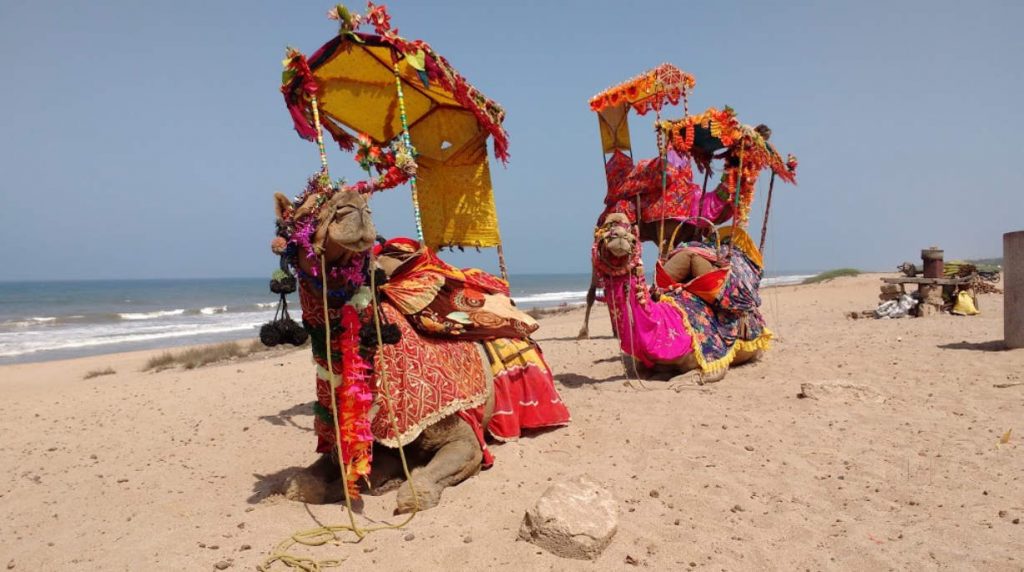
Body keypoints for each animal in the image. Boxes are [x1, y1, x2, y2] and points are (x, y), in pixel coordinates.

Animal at [272, 176, 569, 515]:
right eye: (305, 214)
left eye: (362, 201)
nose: (355, 209)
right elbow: (299, 484)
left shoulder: (463, 437)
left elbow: (419, 489)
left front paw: (398, 487)